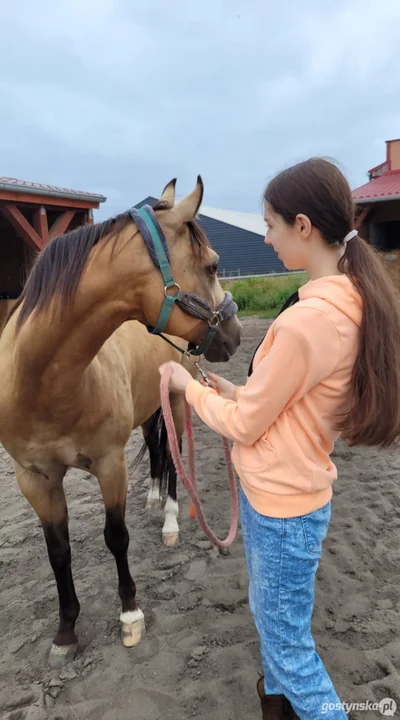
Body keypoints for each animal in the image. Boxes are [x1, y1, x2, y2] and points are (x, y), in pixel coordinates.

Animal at [0, 176, 241, 668]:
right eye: (212, 265)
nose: (236, 333)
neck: (44, 381)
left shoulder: (110, 465)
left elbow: (116, 536)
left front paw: (130, 614)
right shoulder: (34, 479)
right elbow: (58, 552)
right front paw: (65, 632)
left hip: (176, 398)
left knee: (173, 452)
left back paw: (169, 520)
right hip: (149, 407)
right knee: (157, 449)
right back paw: (151, 497)